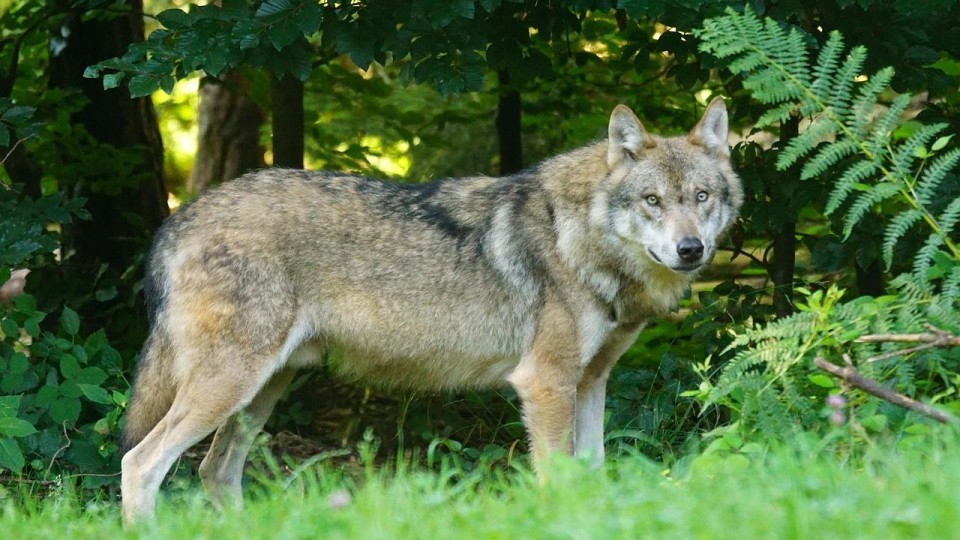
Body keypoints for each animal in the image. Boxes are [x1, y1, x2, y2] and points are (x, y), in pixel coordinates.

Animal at [120, 97, 742, 521]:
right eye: (652, 201)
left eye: (701, 198)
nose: (691, 249)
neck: (580, 238)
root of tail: (178, 218)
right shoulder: (545, 384)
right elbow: (558, 481)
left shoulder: (590, 382)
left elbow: (592, 474)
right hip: (230, 386)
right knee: (141, 463)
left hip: (261, 392)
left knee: (214, 471)